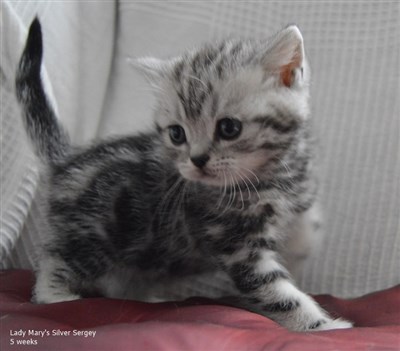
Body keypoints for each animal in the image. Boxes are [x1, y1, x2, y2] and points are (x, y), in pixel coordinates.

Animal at [16, 18, 354, 332]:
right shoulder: (238, 246)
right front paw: (322, 326)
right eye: (177, 134)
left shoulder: (297, 198)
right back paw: (57, 297)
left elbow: (305, 233)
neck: (270, 178)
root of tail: (67, 159)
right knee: (56, 264)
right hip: (91, 237)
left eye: (229, 128)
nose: (197, 160)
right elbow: (278, 292)